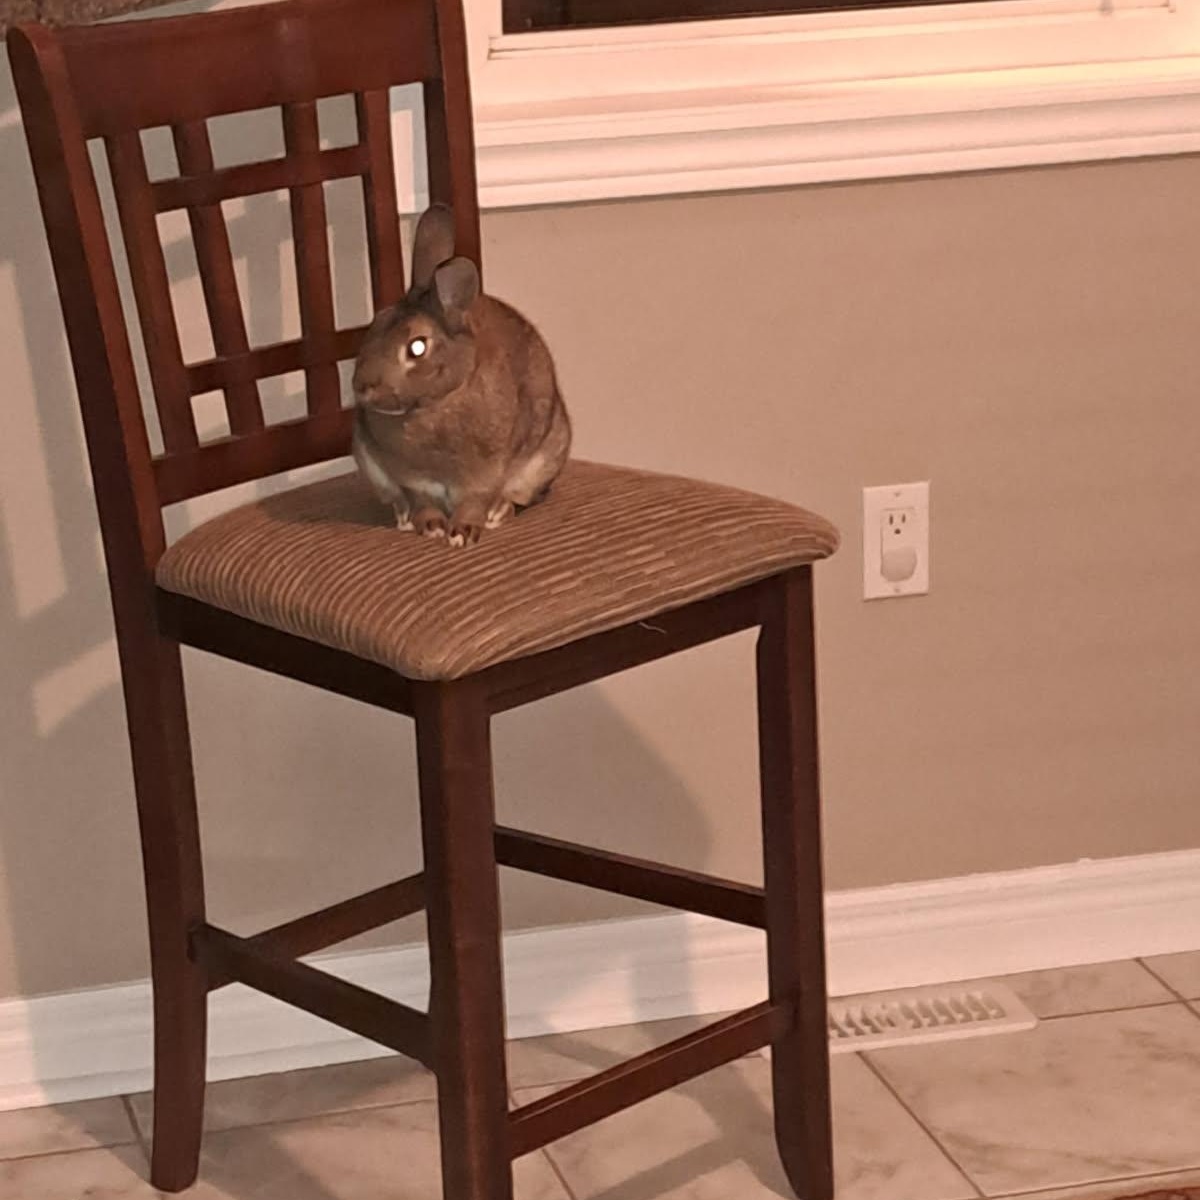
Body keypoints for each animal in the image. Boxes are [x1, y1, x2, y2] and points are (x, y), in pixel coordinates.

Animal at [351, 203, 571, 548]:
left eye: (417, 347)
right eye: (375, 325)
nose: (362, 388)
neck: (437, 403)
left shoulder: (482, 476)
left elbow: (474, 501)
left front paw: (462, 532)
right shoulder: (413, 480)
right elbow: (422, 501)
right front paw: (431, 526)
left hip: (546, 455)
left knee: (518, 496)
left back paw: (498, 511)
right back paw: (402, 516)